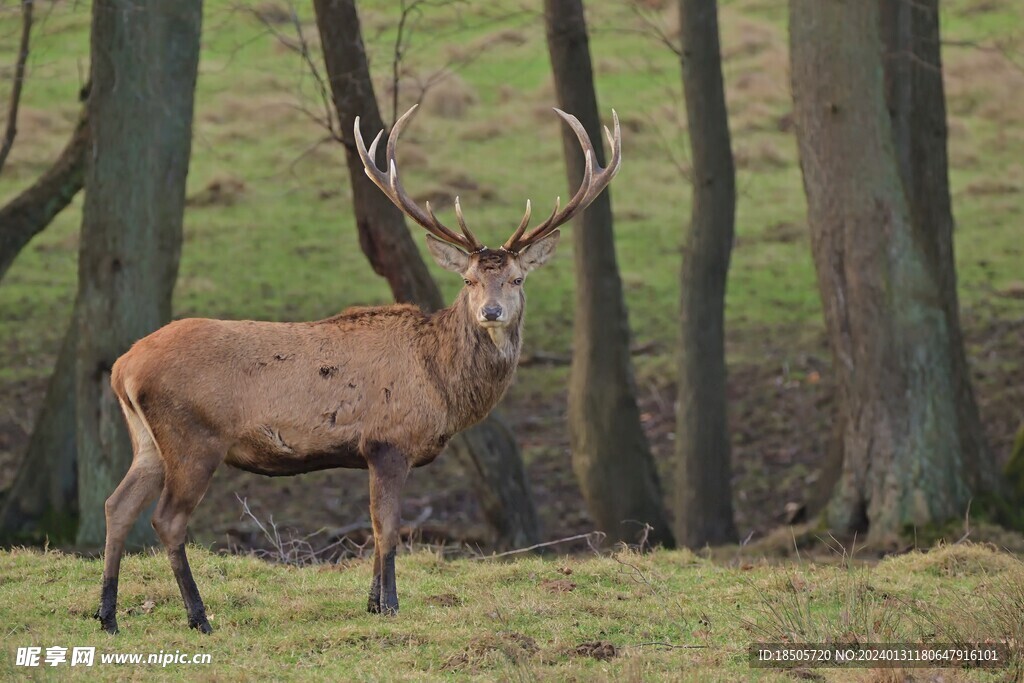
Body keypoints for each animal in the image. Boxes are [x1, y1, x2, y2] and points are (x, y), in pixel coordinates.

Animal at [96, 104, 618, 634]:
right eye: (469, 280)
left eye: (516, 279)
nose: (491, 312)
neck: (442, 385)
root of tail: (123, 367)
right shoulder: (389, 441)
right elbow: (387, 528)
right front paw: (390, 606)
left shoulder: (370, 452)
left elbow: (373, 524)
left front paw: (371, 603)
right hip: (194, 436)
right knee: (167, 519)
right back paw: (198, 616)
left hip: (148, 440)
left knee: (117, 505)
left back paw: (108, 615)